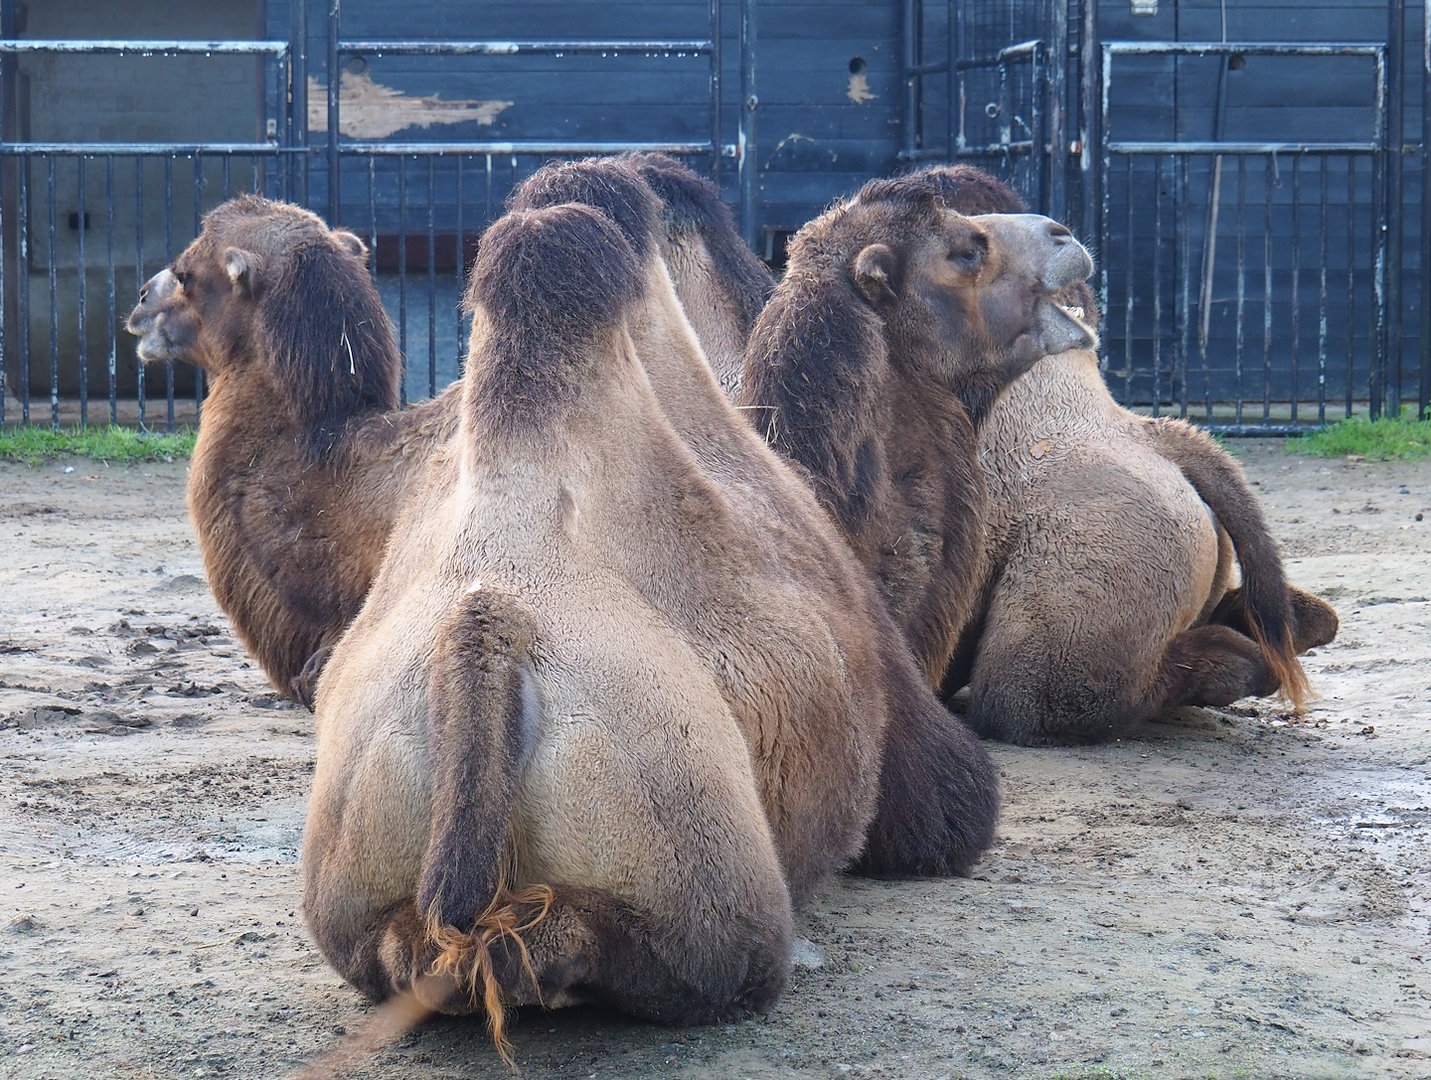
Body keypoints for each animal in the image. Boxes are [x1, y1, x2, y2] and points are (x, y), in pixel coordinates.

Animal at [301, 197, 1004, 1047]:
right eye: (964, 252)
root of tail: (486, 641)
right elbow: (944, 809)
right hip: (696, 840)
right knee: (709, 959)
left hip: (352, 858)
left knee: (390, 948)